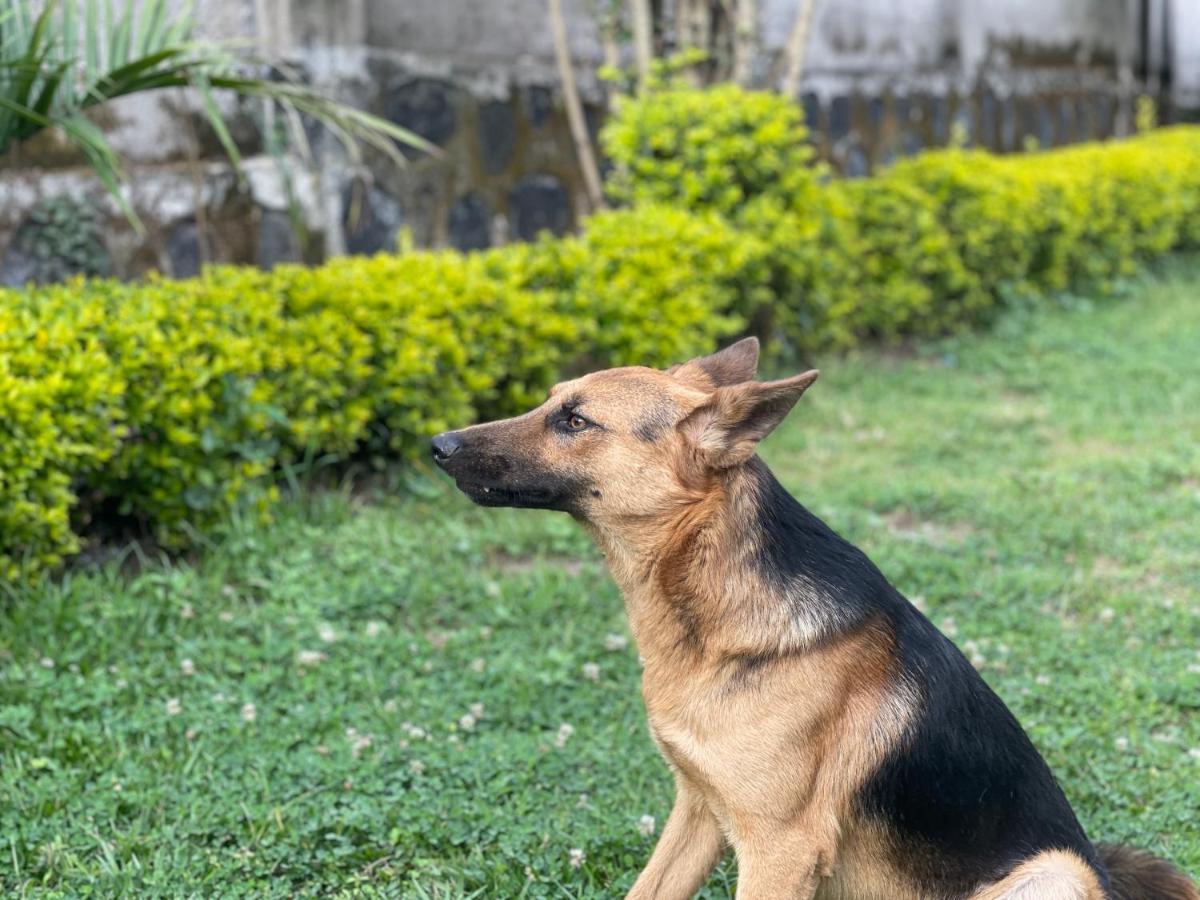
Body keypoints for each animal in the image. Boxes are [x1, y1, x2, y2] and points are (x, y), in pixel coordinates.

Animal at [429, 340, 1190, 900]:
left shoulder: (780, 849)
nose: (438, 444)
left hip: (1052, 873)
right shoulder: (698, 811)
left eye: (575, 421)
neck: (711, 612)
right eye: (552, 402)